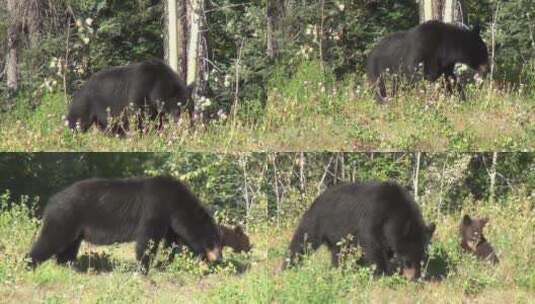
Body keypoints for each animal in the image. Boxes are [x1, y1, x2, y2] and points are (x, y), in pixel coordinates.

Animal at [27, 176, 222, 274]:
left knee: (68, 247)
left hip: (75, 228)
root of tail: (51, 201)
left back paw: (68, 267)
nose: (219, 259)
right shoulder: (156, 207)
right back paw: (29, 264)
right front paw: (144, 269)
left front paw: (164, 264)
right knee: (50, 240)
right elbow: (147, 239)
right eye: (213, 243)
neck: (176, 204)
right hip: (66, 217)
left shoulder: (170, 222)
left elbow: (171, 243)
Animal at [284, 180, 436, 280]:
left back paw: (338, 270)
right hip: (318, 220)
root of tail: (318, 198)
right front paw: (382, 274)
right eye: (407, 260)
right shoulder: (373, 217)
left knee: (338, 254)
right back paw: (287, 266)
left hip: (340, 238)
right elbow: (373, 247)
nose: (414, 277)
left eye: (422, 260)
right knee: (302, 241)